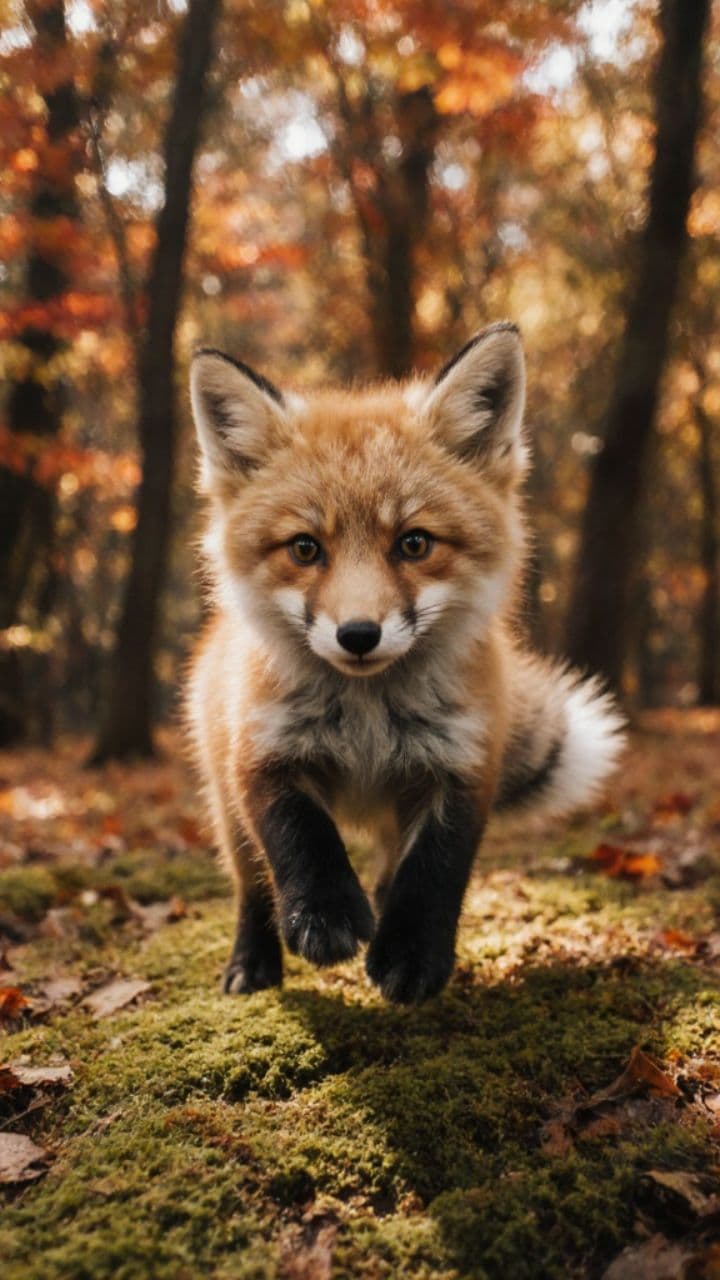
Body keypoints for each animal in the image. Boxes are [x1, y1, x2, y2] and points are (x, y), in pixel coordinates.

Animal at [185, 322, 625, 1005]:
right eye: (305, 549)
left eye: (414, 543)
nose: (358, 635)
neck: (367, 720)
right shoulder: (260, 753)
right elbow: (299, 837)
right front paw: (325, 917)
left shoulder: (461, 766)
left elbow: (433, 873)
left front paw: (412, 955)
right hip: (225, 807)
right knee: (251, 883)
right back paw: (253, 960)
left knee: (392, 868)